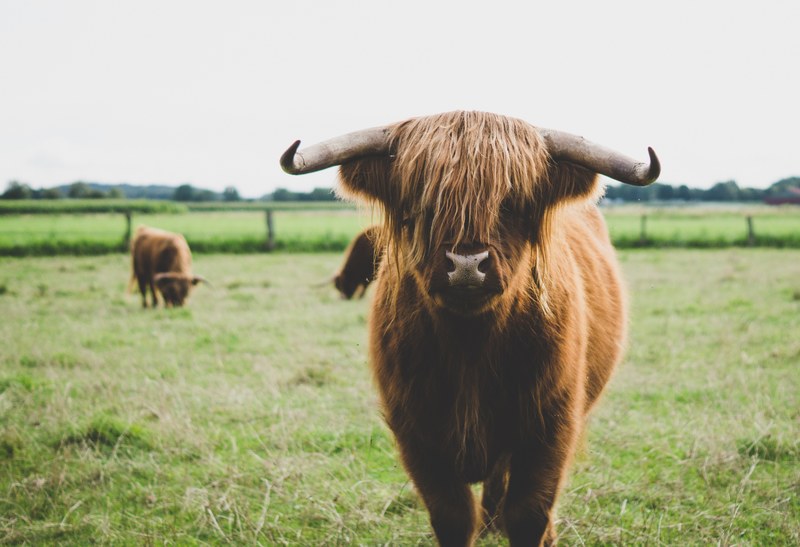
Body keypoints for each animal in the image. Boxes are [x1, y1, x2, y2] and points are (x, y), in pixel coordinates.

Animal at [280, 111, 659, 546]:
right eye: (423, 201)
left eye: (512, 201)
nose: (466, 264)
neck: (470, 345)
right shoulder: (416, 431)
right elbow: (453, 515)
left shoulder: (550, 426)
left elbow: (529, 513)